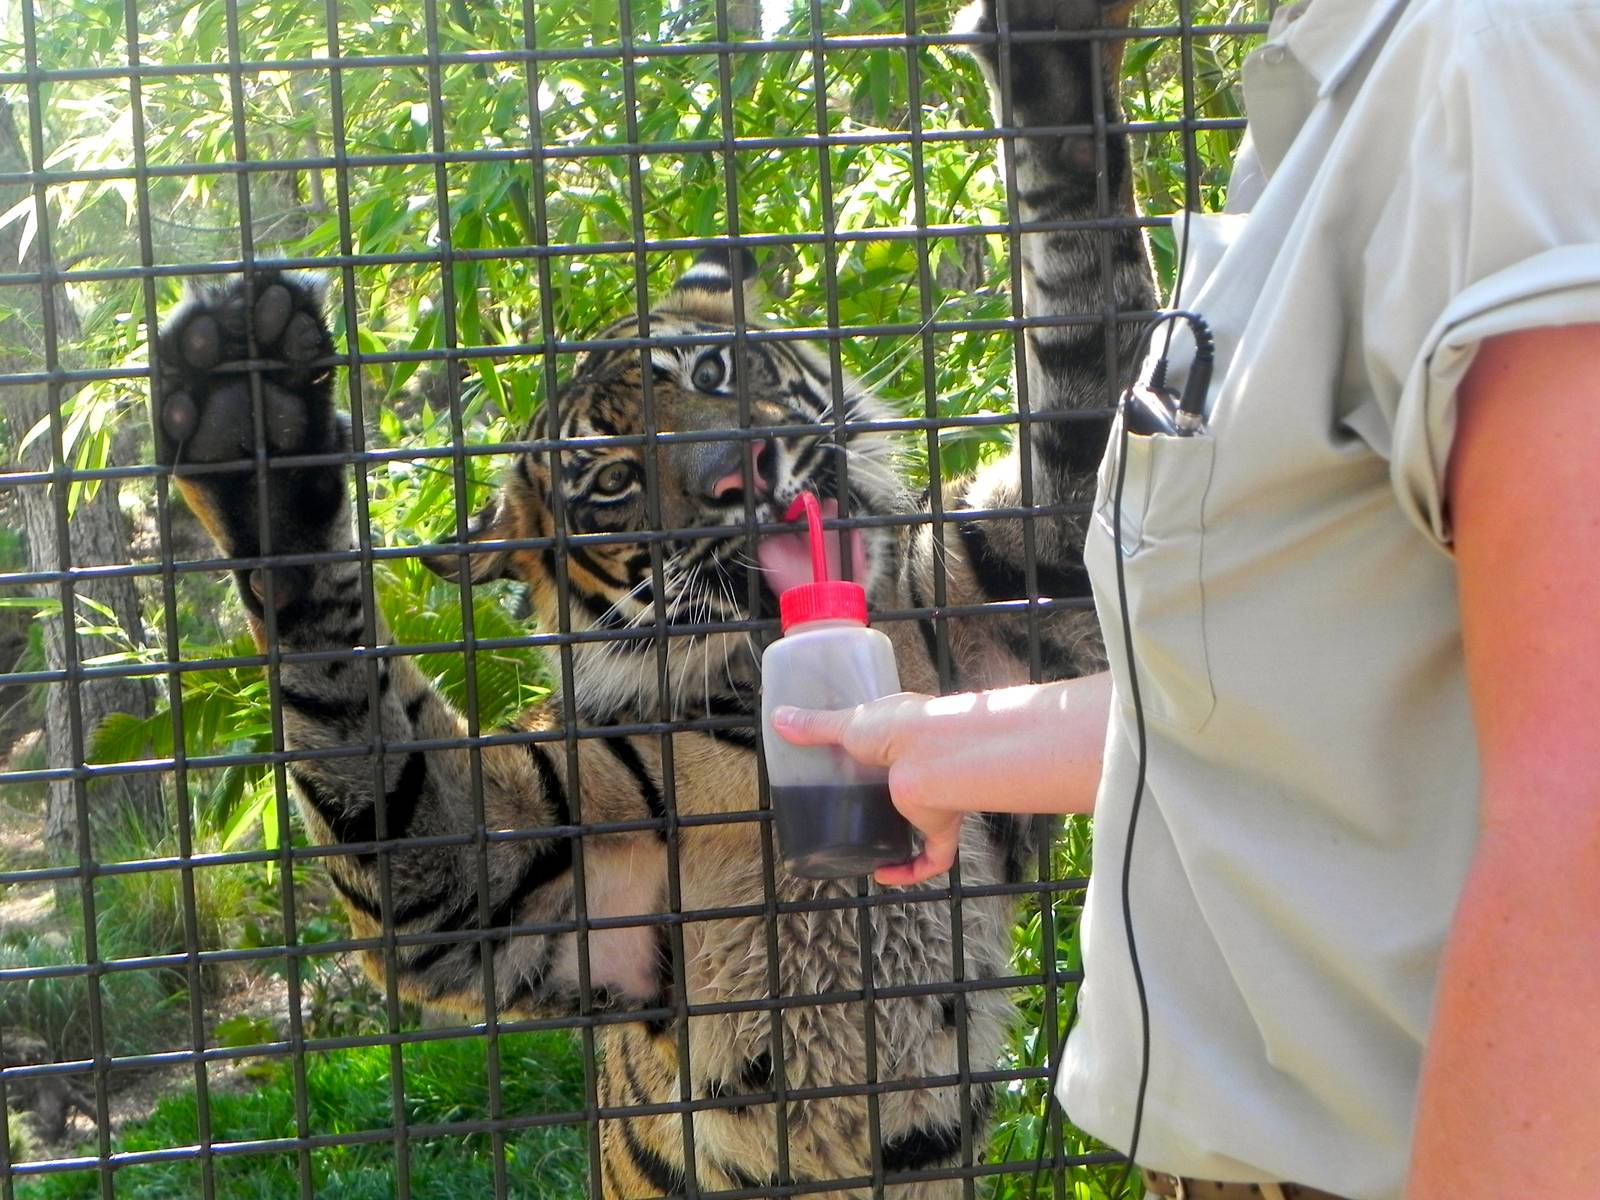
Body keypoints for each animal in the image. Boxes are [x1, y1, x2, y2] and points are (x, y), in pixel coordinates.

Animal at [148, 0, 1156, 1194]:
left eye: (713, 374)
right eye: (615, 483)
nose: (737, 475)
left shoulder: (1020, 586)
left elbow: (1082, 328)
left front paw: (1051, 66)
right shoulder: (509, 880)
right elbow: (371, 745)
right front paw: (248, 430)